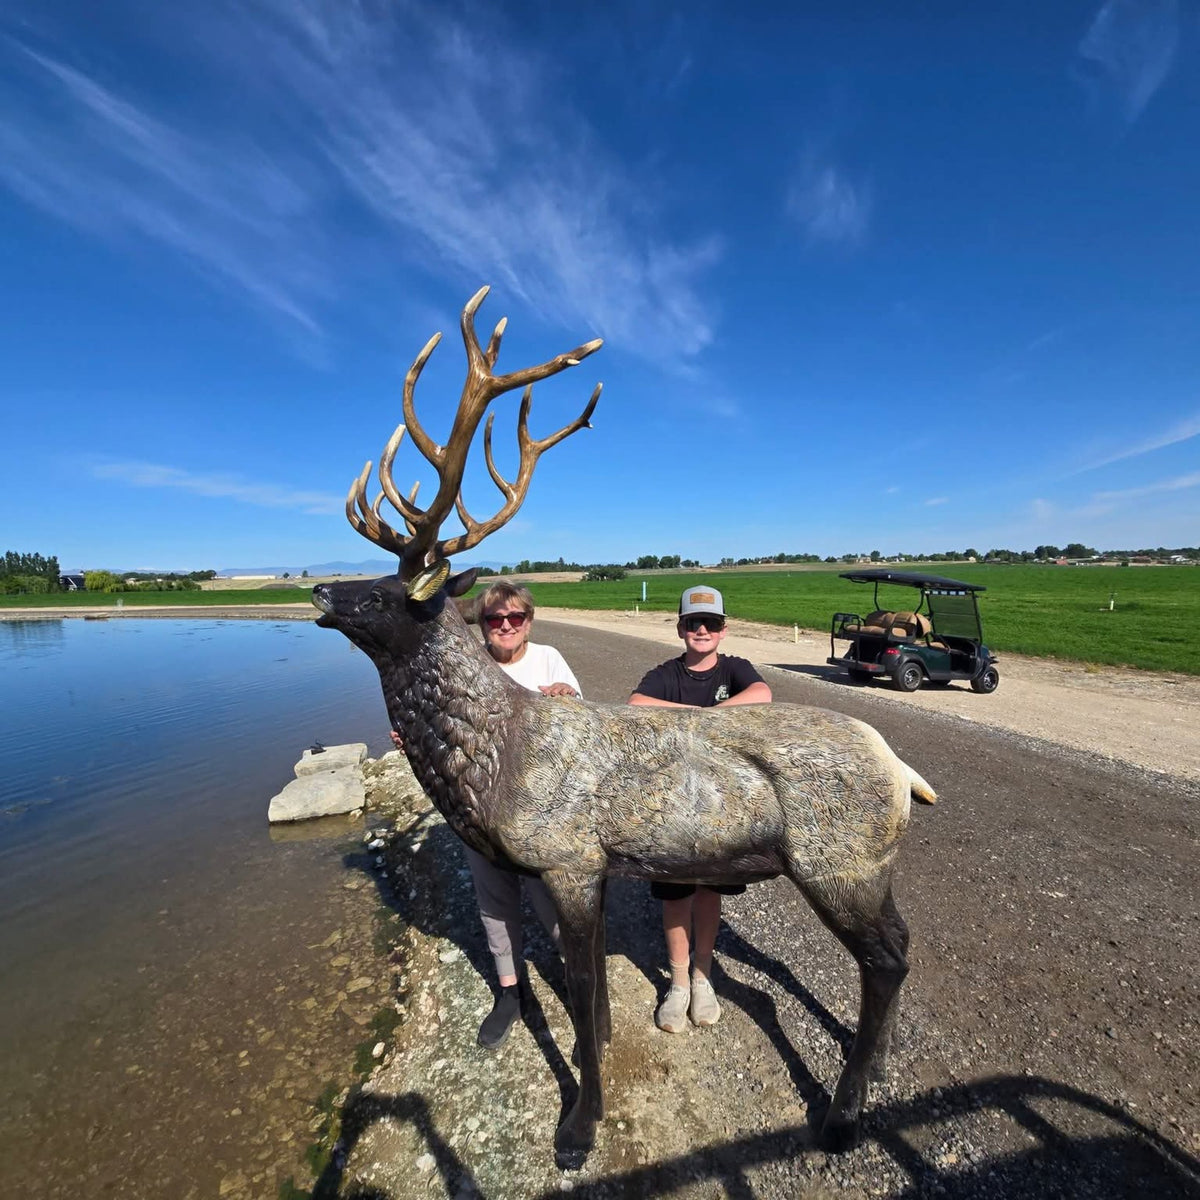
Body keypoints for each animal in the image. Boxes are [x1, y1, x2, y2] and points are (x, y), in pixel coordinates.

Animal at [312, 287, 937, 1162]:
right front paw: (599, 1051)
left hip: (842, 861)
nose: (317, 590)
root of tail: (904, 772)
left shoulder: (569, 857)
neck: (497, 760)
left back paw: (843, 1117)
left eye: (378, 594)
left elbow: (578, 985)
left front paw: (579, 1125)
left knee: (888, 959)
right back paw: (869, 1074)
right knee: (898, 951)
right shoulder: (599, 867)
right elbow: (593, 997)